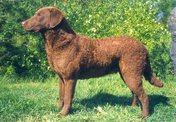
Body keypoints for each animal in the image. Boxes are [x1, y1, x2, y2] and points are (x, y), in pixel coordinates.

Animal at [21, 6, 164, 117]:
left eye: (39, 15)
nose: (22, 23)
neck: (61, 43)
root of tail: (143, 47)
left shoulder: (70, 78)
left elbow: (68, 97)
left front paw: (63, 114)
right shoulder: (61, 78)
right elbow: (61, 95)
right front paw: (57, 109)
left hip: (131, 73)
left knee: (144, 96)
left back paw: (144, 115)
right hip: (126, 74)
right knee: (135, 93)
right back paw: (132, 107)